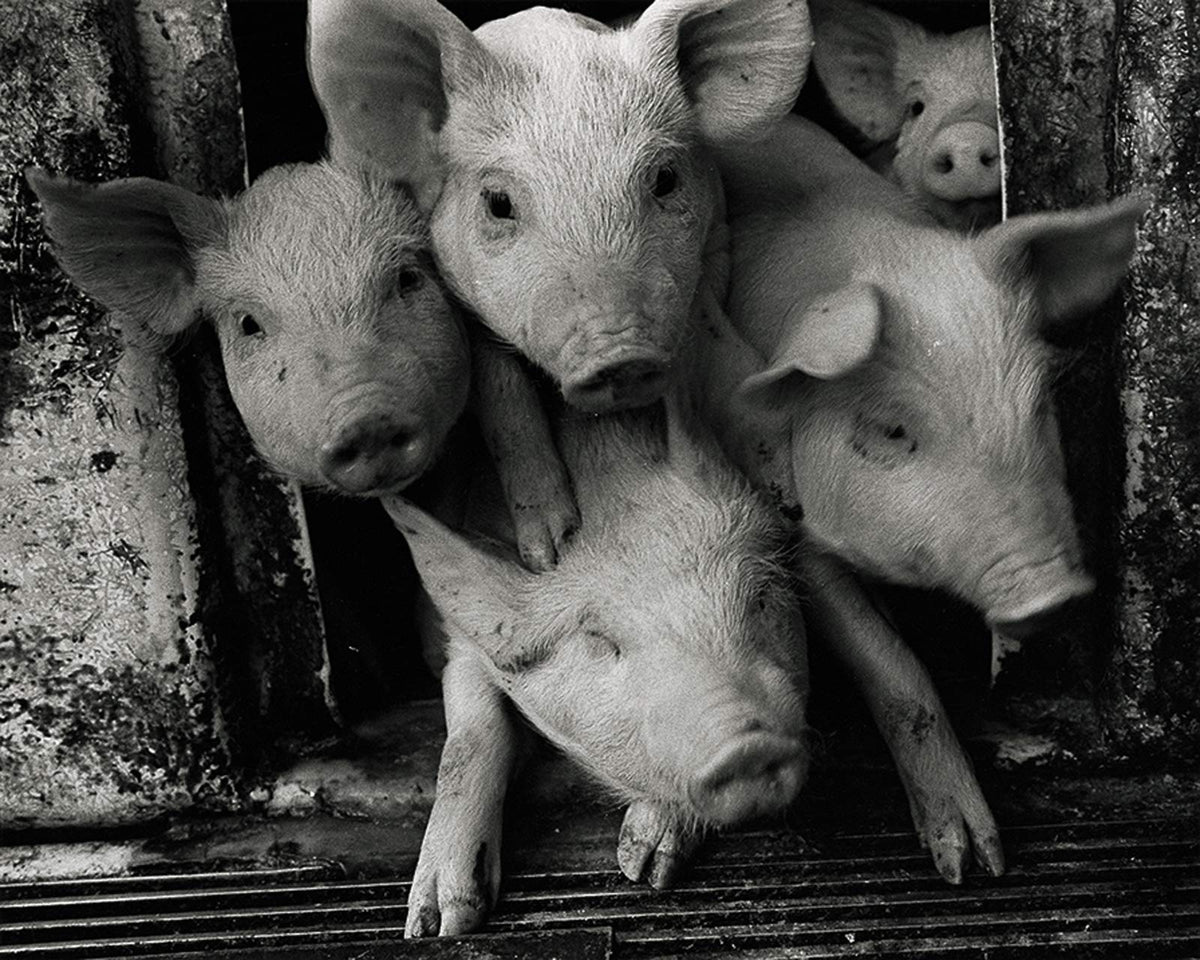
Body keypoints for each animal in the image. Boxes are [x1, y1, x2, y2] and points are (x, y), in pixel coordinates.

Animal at [384, 401, 810, 937]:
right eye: (600, 641)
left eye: (759, 599)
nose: (749, 746)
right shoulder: (461, 645)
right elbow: (469, 739)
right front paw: (440, 924)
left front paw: (644, 867)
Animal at [699, 113, 1144, 883]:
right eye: (891, 429)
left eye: (1037, 403)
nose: (1049, 593)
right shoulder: (793, 523)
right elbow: (890, 665)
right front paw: (966, 864)